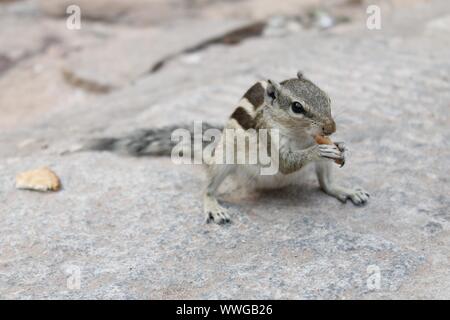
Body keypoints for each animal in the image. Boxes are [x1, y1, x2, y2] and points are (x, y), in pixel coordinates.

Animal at [83, 71, 370, 224]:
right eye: (297, 107)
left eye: (328, 98)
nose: (331, 128)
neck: (302, 136)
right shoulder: (271, 139)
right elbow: (286, 164)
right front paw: (318, 150)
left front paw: (341, 146)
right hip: (223, 162)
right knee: (207, 189)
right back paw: (214, 207)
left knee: (326, 185)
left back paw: (345, 190)